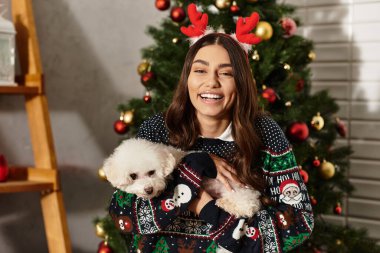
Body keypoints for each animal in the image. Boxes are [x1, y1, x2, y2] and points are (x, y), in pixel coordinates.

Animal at [103, 138, 262, 217]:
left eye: (151, 172)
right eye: (133, 176)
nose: (149, 189)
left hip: (236, 191)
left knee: (248, 207)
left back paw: (226, 204)